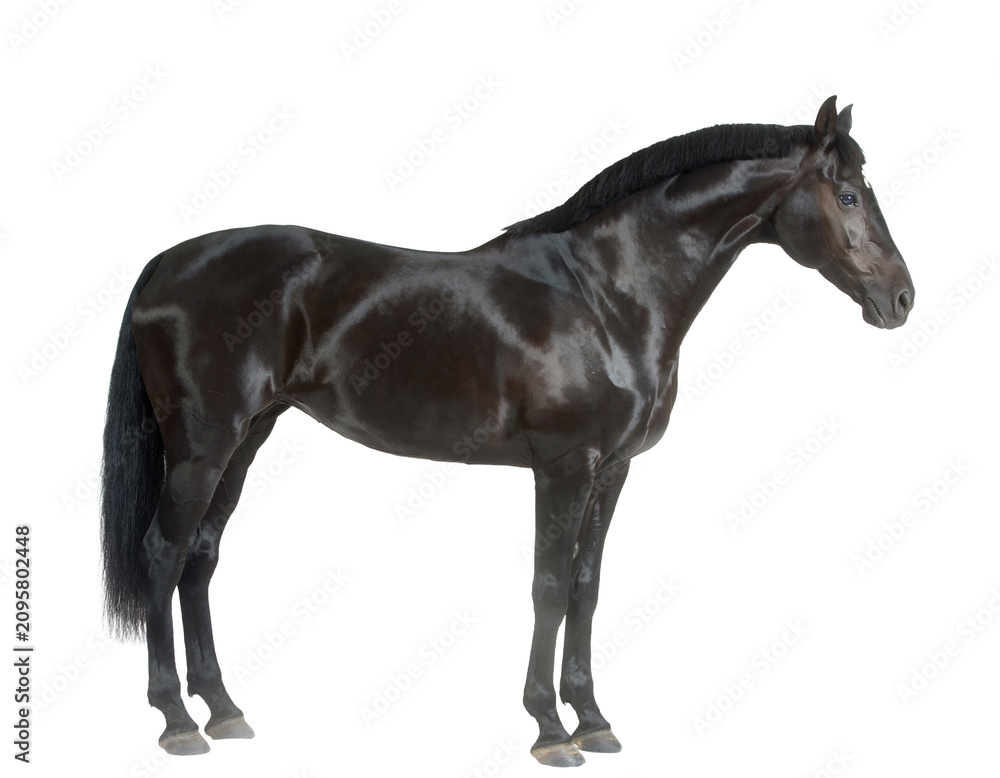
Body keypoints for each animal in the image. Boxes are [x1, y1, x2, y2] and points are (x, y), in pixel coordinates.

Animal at [100, 95, 913, 766]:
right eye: (847, 194)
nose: (901, 298)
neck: (606, 296)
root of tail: (167, 262)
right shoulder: (564, 465)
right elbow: (548, 587)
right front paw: (550, 729)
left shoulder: (612, 469)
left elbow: (586, 586)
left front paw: (594, 720)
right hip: (203, 445)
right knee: (163, 553)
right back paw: (177, 720)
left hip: (245, 438)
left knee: (201, 557)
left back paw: (224, 710)